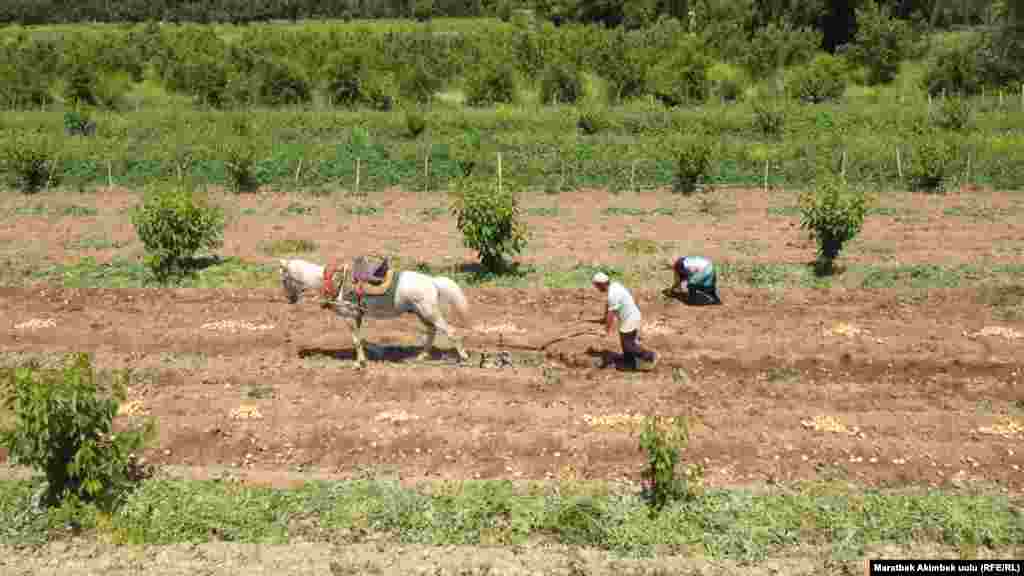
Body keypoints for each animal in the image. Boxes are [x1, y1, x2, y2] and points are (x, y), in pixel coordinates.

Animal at [278, 258, 473, 364]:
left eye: (284, 279)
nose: (290, 299)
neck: (332, 281)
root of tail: (432, 281)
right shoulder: (357, 315)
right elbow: (360, 340)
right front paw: (365, 358)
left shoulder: (348, 315)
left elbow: (356, 340)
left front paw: (360, 364)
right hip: (422, 313)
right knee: (431, 332)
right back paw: (421, 357)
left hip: (429, 312)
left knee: (450, 332)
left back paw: (463, 358)